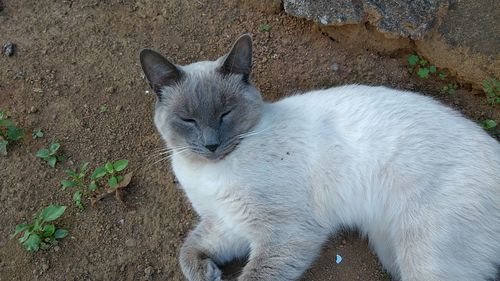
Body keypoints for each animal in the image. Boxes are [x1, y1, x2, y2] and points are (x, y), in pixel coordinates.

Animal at [140, 33, 500, 280]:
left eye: (226, 113)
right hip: (392, 252)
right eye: (188, 120)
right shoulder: (227, 224)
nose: (212, 144)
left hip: (425, 258)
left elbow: (254, 274)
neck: (209, 171)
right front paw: (207, 273)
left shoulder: (285, 232)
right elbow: (187, 250)